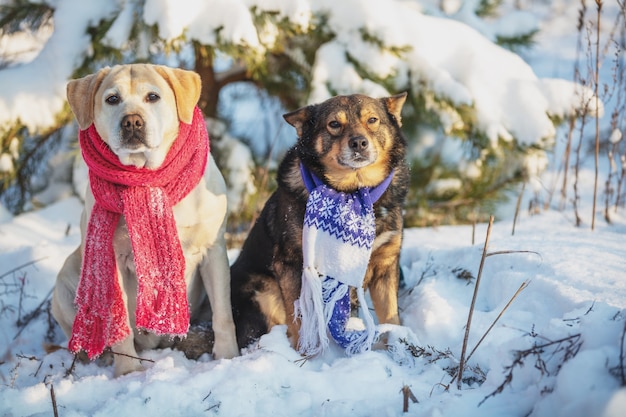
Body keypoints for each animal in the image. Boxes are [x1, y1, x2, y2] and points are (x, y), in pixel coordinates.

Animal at [230, 92, 410, 350]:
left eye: (372, 120)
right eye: (334, 124)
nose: (359, 143)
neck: (353, 193)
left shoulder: (386, 263)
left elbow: (391, 316)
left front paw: (394, 347)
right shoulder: (291, 264)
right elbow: (301, 320)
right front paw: (303, 354)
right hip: (262, 290)